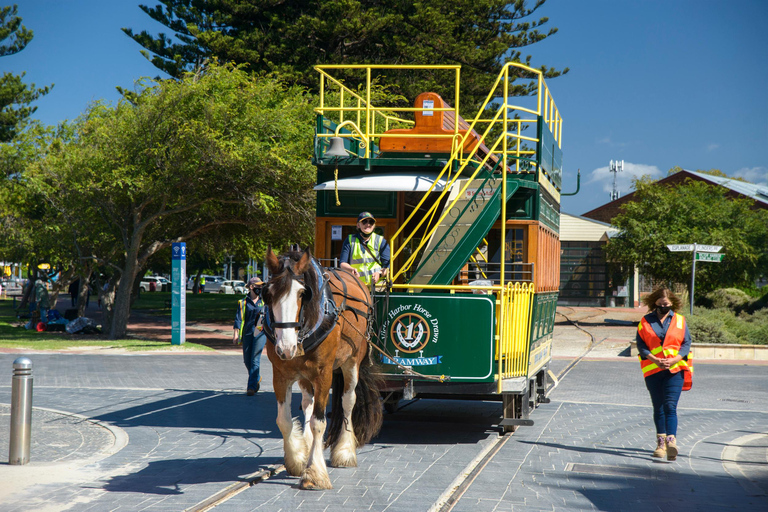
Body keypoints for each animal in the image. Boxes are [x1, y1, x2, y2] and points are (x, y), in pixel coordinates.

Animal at [264, 246, 384, 490]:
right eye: (268, 294)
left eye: (302, 294)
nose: (286, 347)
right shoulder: (280, 374)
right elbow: (284, 420)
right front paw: (297, 459)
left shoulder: (323, 374)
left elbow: (319, 423)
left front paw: (314, 473)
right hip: (304, 375)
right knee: (307, 403)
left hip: (352, 361)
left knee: (348, 401)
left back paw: (345, 451)